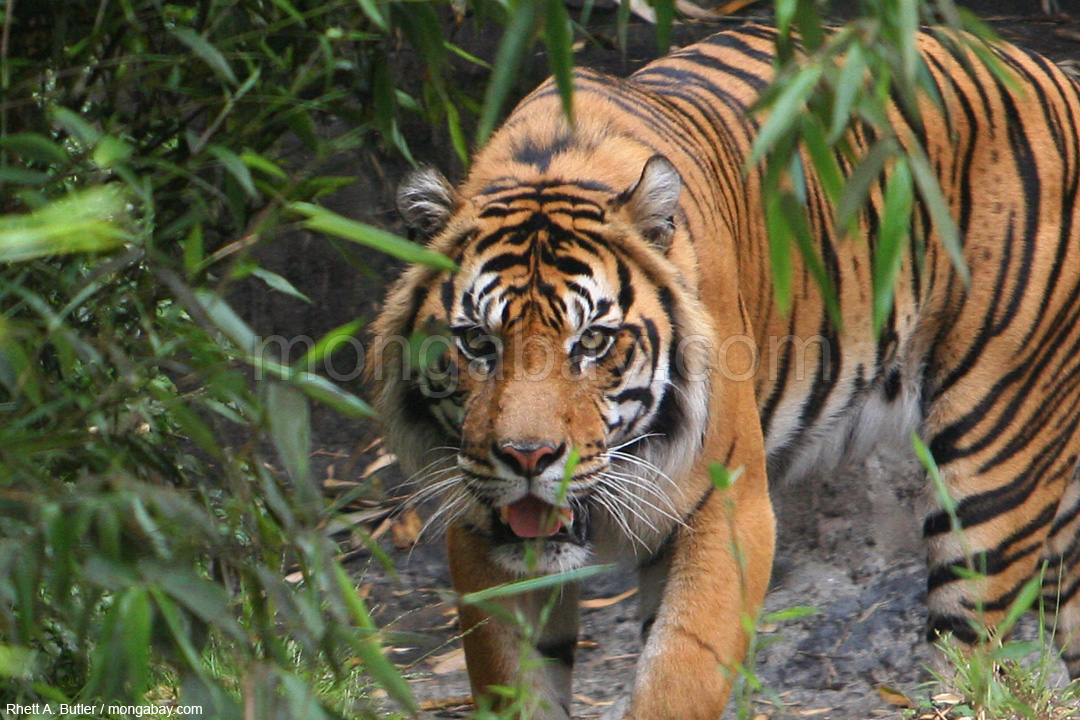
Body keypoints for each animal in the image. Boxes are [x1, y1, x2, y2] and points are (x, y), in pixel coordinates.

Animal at [368, 23, 1080, 720]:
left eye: (592, 341)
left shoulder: (728, 505)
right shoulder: (478, 526)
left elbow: (677, 677)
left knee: (971, 661)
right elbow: (515, 679)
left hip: (992, 458)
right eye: (477, 343)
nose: (527, 457)